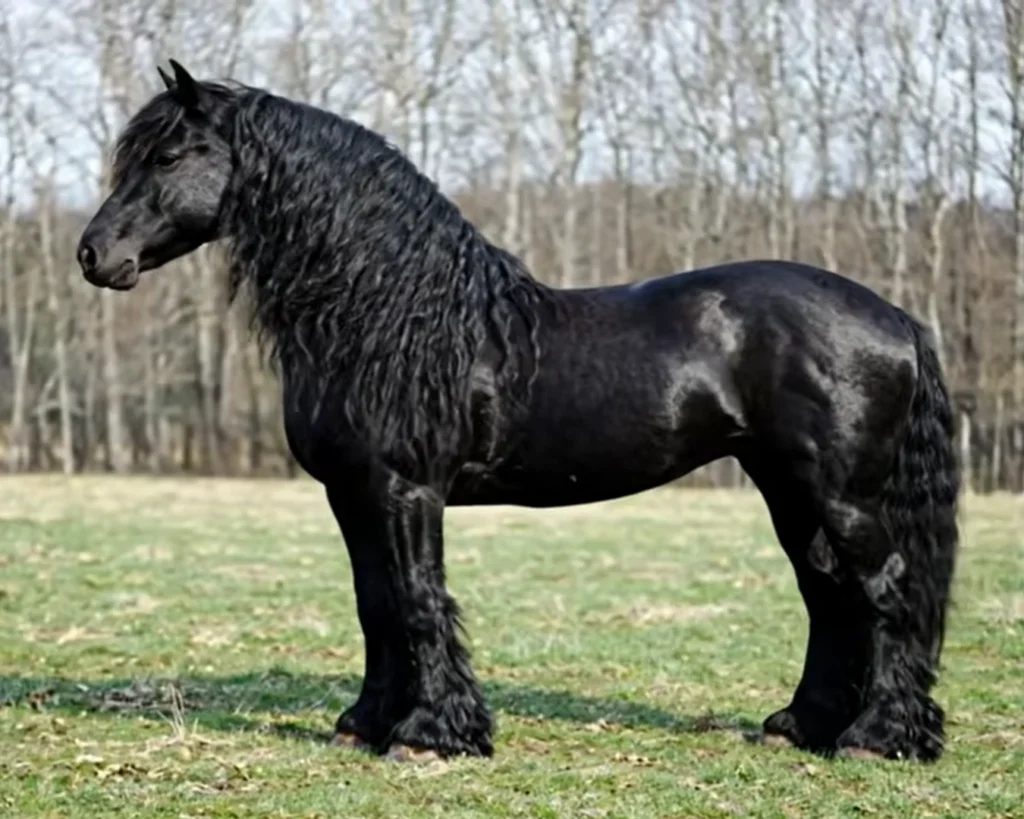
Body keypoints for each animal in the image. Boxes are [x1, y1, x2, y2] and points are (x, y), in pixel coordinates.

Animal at [76, 61, 960, 764]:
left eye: (169, 155)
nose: (93, 254)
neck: (390, 313)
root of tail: (897, 317)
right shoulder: (351, 493)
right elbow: (375, 603)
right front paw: (366, 722)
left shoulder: (406, 490)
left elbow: (418, 598)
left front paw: (433, 734)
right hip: (788, 488)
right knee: (829, 596)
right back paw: (801, 726)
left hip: (842, 493)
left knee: (885, 590)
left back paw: (878, 736)